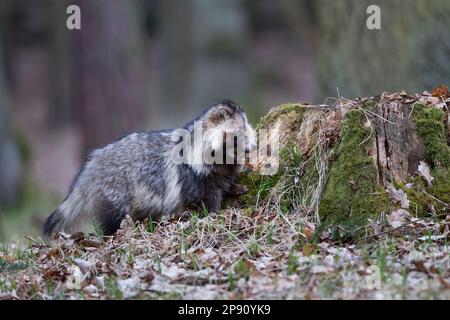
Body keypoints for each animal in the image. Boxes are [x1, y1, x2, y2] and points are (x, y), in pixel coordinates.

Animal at [45, 101, 258, 236]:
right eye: (238, 135)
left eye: (248, 131)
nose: (254, 147)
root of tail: (91, 166)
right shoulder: (192, 177)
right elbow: (204, 200)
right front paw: (213, 213)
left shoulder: (219, 170)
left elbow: (225, 179)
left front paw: (233, 187)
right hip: (115, 190)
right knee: (112, 218)